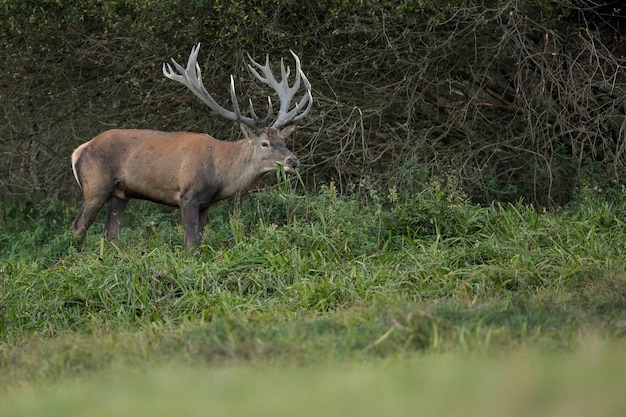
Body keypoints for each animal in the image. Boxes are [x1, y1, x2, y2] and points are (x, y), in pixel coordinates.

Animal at [71, 44, 312, 247]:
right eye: (264, 143)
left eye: (283, 141)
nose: (293, 160)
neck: (219, 172)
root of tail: (79, 150)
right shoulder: (187, 196)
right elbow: (191, 242)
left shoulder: (206, 204)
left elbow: (200, 238)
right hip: (95, 185)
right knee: (78, 227)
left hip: (119, 194)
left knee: (110, 235)